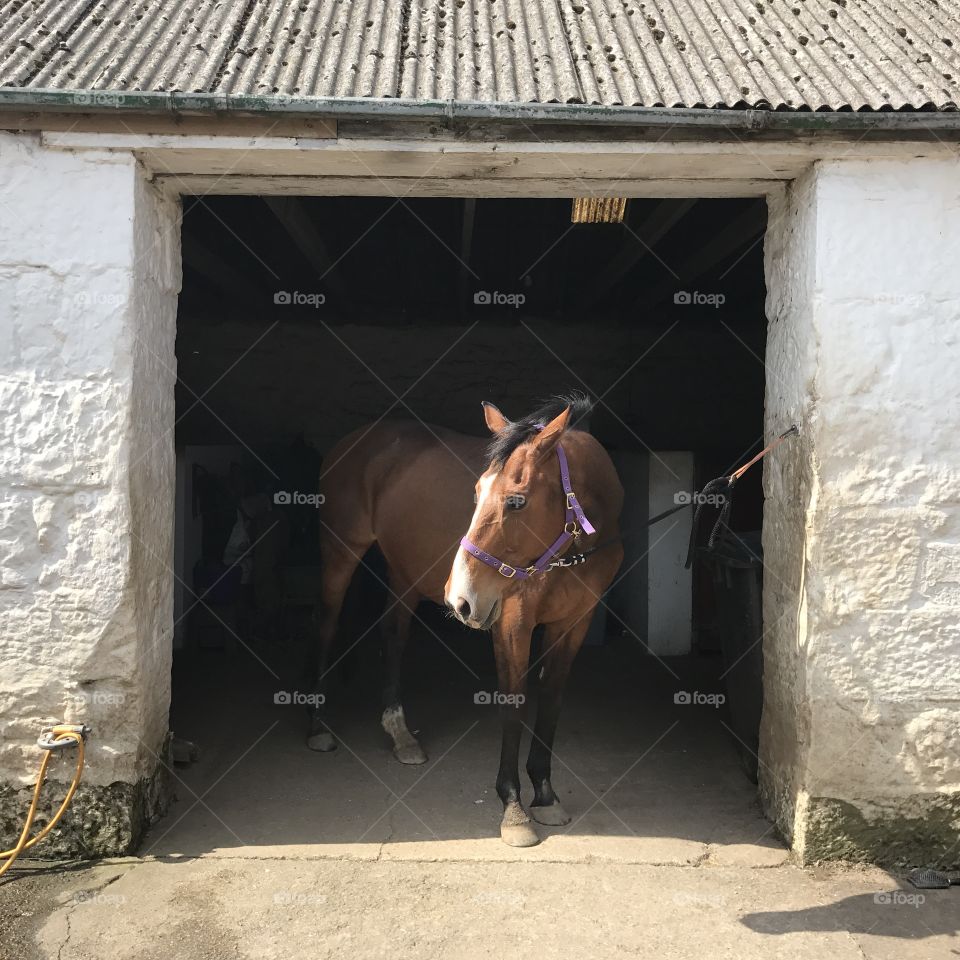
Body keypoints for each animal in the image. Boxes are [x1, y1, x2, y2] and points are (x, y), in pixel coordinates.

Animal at [306, 398, 624, 848]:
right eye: (476, 493)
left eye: (516, 502)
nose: (460, 600)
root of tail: (353, 440)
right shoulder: (512, 623)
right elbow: (514, 702)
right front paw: (513, 808)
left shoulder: (574, 621)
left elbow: (551, 699)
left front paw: (545, 794)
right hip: (340, 551)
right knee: (327, 624)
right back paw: (318, 726)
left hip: (403, 570)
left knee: (394, 634)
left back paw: (400, 733)